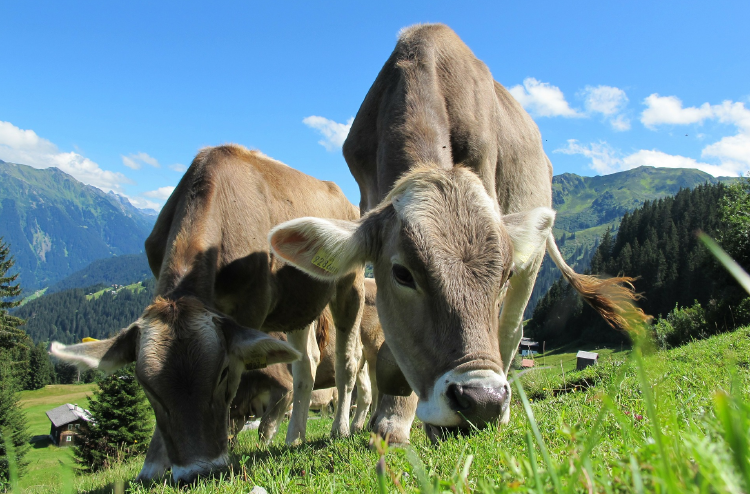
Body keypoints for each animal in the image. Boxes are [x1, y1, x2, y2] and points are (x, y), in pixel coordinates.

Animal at [51, 145, 365, 482]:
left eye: (223, 373)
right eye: (146, 386)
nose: (198, 472)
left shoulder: (250, 309)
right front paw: (153, 466)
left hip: (350, 284)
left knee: (347, 361)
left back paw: (340, 429)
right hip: (298, 305)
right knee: (306, 364)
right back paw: (294, 437)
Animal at [269, 24, 646, 443]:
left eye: (503, 274)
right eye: (402, 273)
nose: (482, 401)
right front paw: (391, 421)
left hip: (532, 261)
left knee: (511, 330)